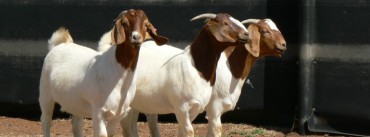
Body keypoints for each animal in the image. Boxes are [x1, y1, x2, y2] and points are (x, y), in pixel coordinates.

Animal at [38, 9, 168, 137]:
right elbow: (102, 134)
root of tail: (59, 45)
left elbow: (110, 133)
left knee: (76, 125)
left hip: (75, 103)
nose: (136, 38)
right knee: (46, 121)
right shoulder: (98, 112)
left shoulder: (117, 114)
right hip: (45, 94)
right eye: (125, 23)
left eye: (146, 25)